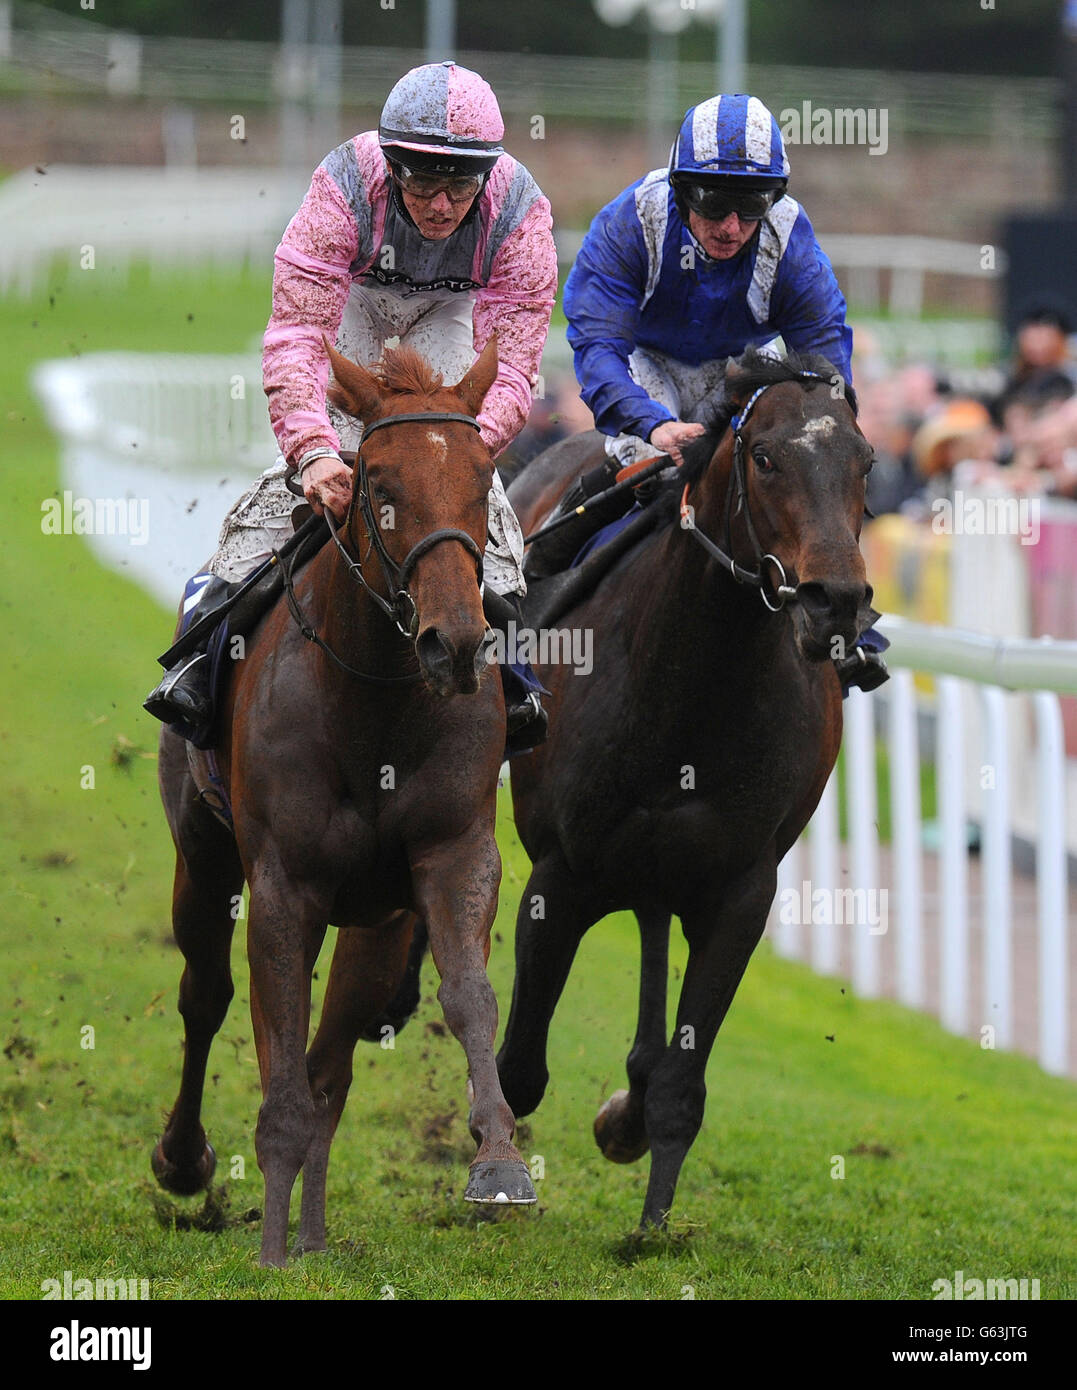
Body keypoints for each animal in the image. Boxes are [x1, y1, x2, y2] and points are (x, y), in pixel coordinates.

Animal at [151, 339, 539, 1273]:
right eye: (379, 483)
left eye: (483, 476)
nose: (454, 640)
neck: (374, 714)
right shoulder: (283, 887)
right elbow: (276, 1049)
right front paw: (266, 1248)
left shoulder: (450, 856)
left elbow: (467, 996)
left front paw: (499, 1162)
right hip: (201, 857)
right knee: (206, 995)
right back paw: (188, 1164)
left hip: (374, 921)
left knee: (331, 1065)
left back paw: (315, 1235)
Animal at [497, 347, 878, 1228]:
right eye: (764, 457)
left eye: (866, 462)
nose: (834, 601)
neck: (692, 678)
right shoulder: (559, 876)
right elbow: (517, 1068)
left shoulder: (738, 890)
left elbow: (680, 1082)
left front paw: (650, 1217)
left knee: (650, 928)